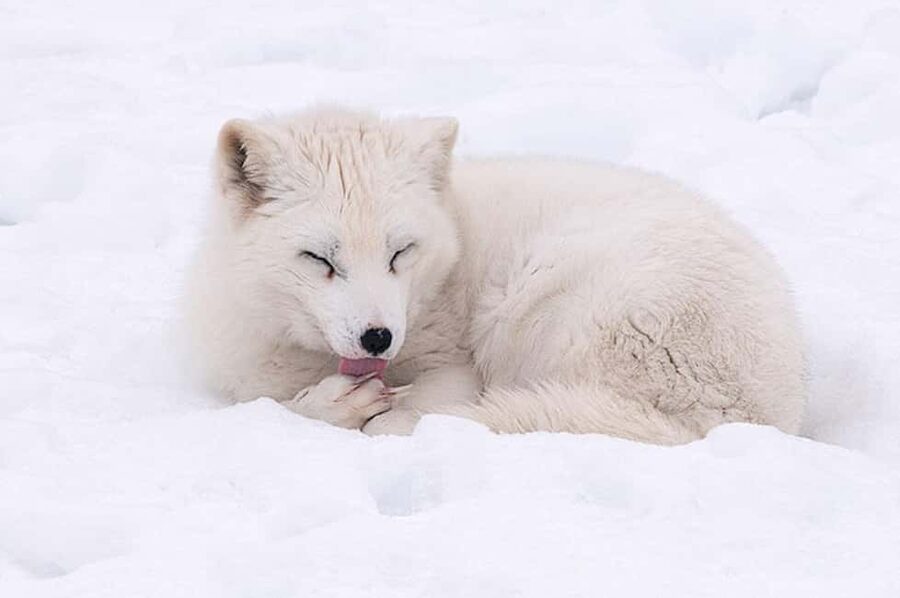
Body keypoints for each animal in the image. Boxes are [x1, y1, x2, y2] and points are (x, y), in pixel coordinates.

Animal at [185, 107, 805, 444]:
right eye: (320, 259)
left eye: (400, 253)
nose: (379, 338)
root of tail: (745, 419)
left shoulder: (455, 368)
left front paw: (340, 407)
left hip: (542, 300)